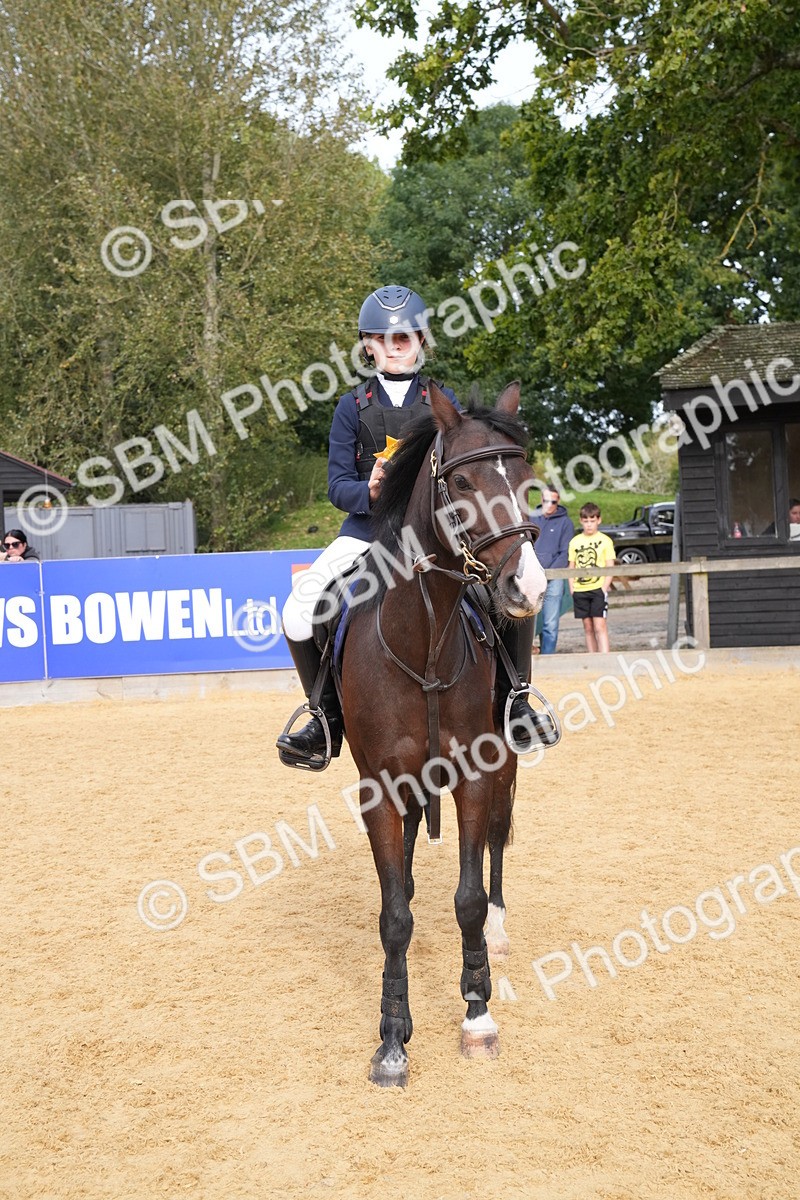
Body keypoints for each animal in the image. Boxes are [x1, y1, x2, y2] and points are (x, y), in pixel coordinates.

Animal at [340, 380, 549, 1087]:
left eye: (526, 479)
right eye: (460, 481)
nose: (528, 585)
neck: (424, 640)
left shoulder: (475, 776)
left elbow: (468, 897)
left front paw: (477, 1016)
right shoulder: (378, 787)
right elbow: (394, 916)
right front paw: (392, 1038)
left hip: (506, 758)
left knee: (497, 843)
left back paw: (502, 930)